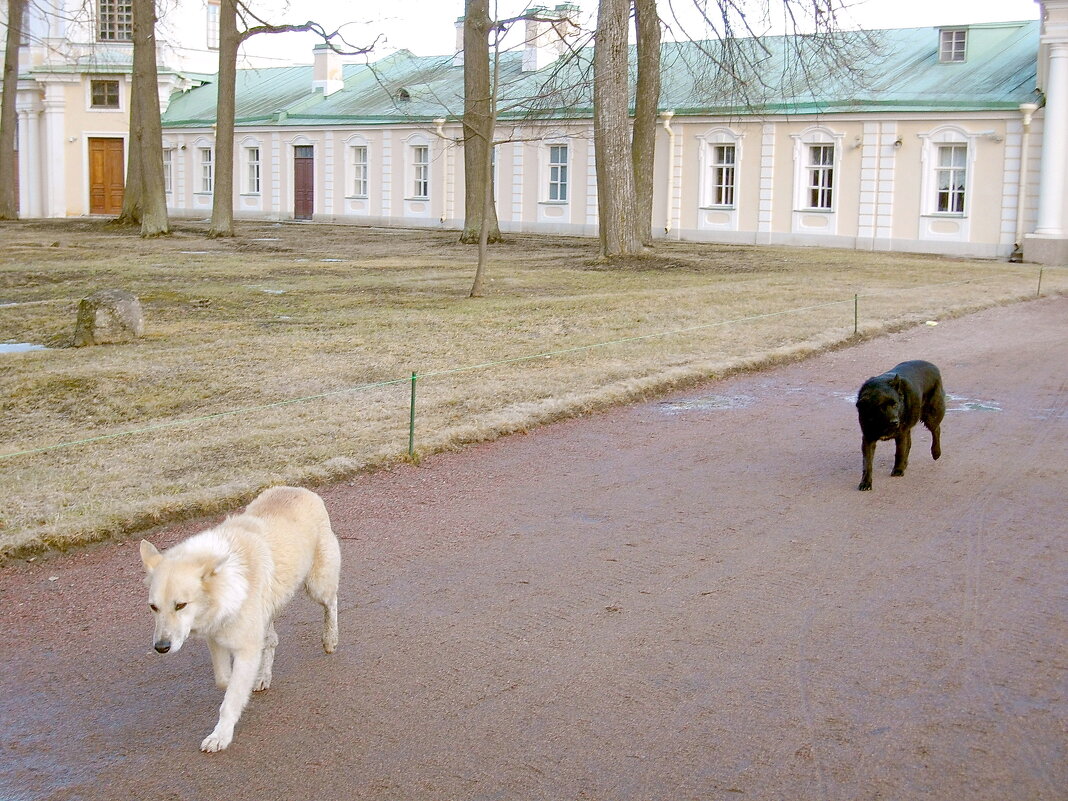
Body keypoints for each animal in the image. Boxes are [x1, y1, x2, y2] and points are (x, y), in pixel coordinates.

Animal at [137, 487, 337, 756]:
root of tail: (298, 489)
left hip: (317, 585)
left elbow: (230, 697)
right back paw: (263, 676)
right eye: (153, 607)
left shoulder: (246, 647)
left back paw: (330, 639)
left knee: (331, 603)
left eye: (181, 605)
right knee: (272, 640)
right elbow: (225, 681)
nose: (161, 647)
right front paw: (243, 688)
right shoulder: (216, 638)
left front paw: (220, 735)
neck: (223, 586)